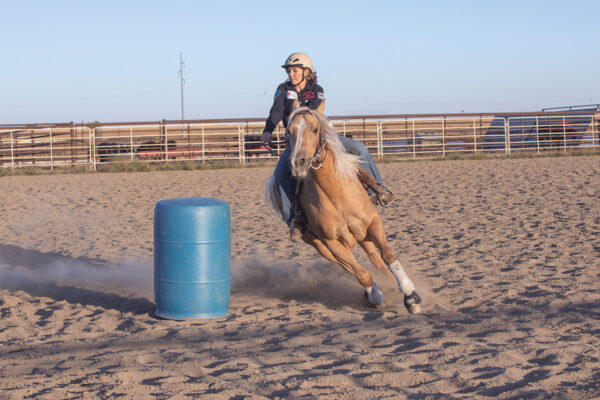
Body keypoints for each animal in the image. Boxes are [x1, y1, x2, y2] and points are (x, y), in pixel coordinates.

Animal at [264, 108, 424, 314]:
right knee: (350, 267)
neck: (335, 192)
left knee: (375, 258)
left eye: (315, 129)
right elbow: (360, 273)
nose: (298, 163)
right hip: (321, 245)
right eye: (288, 132)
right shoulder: (330, 242)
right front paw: (375, 295)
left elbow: (388, 256)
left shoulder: (373, 223)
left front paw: (410, 296)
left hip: (362, 235)